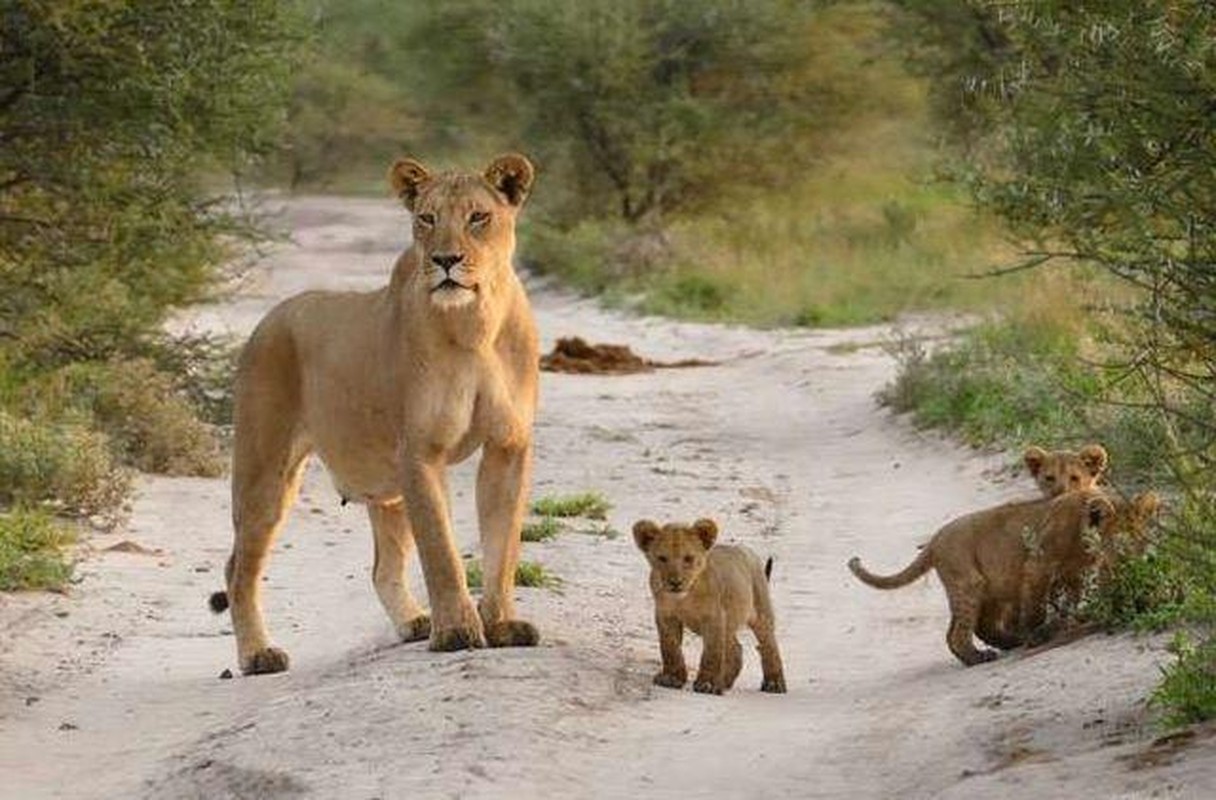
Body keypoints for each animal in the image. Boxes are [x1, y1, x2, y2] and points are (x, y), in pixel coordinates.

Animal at [212, 152, 542, 671]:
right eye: (426, 218)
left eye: (478, 217)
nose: (445, 261)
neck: (474, 325)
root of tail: (271, 316)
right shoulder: (420, 451)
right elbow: (441, 550)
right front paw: (457, 631)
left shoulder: (508, 446)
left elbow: (503, 545)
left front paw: (503, 624)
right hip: (265, 471)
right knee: (237, 567)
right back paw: (258, 654)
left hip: (385, 485)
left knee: (381, 566)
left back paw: (414, 621)